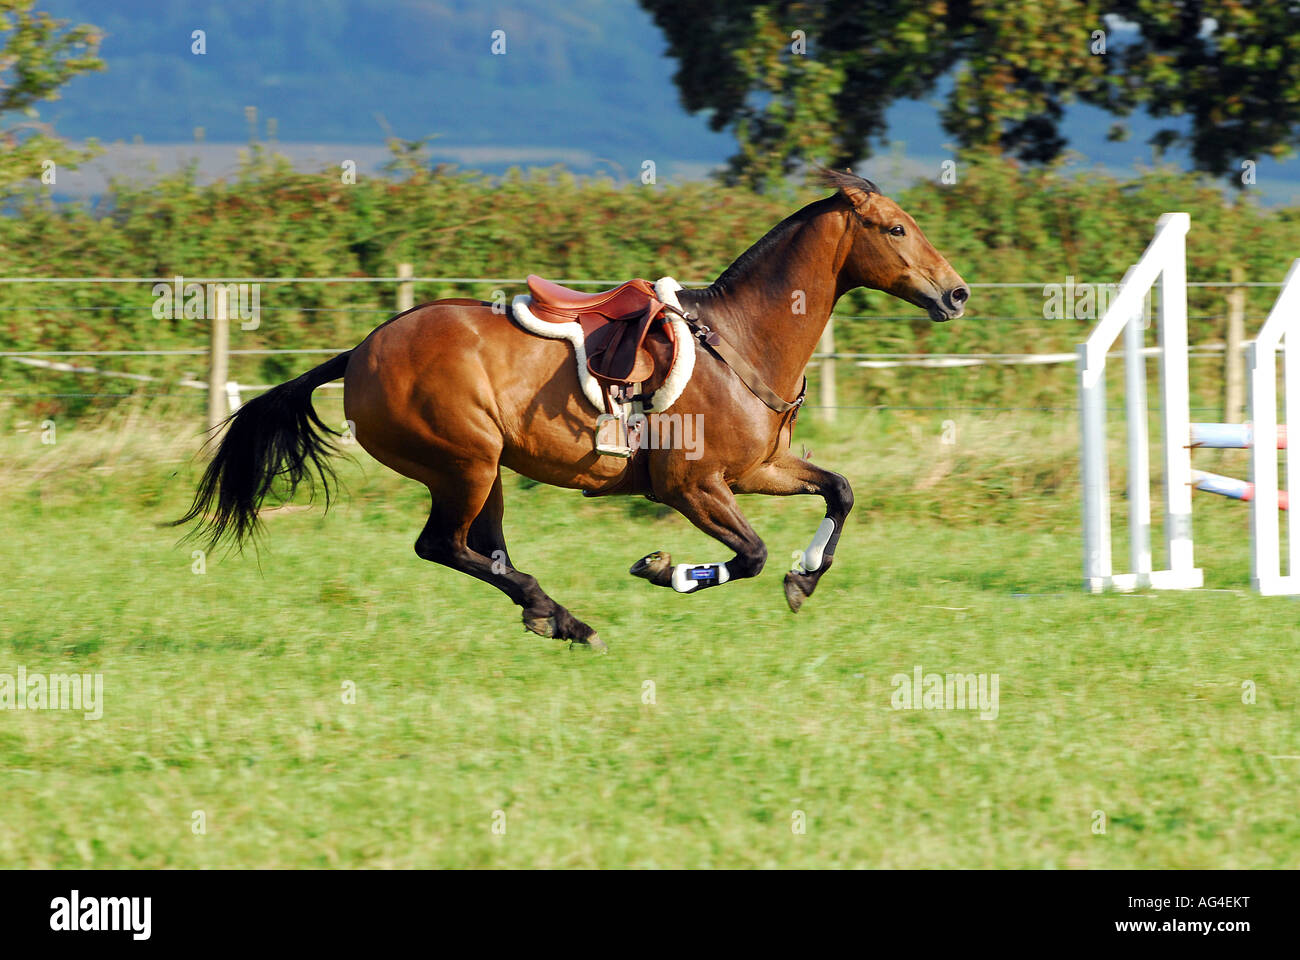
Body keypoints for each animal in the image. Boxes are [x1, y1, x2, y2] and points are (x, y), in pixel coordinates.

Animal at [176, 169, 968, 652]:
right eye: (896, 229)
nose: (957, 293)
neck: (741, 340)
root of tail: (361, 351)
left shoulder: (758, 469)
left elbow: (840, 490)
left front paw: (805, 576)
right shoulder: (693, 488)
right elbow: (749, 555)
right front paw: (665, 569)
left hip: (484, 471)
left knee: (480, 550)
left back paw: (547, 614)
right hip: (464, 463)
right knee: (443, 547)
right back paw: (561, 617)